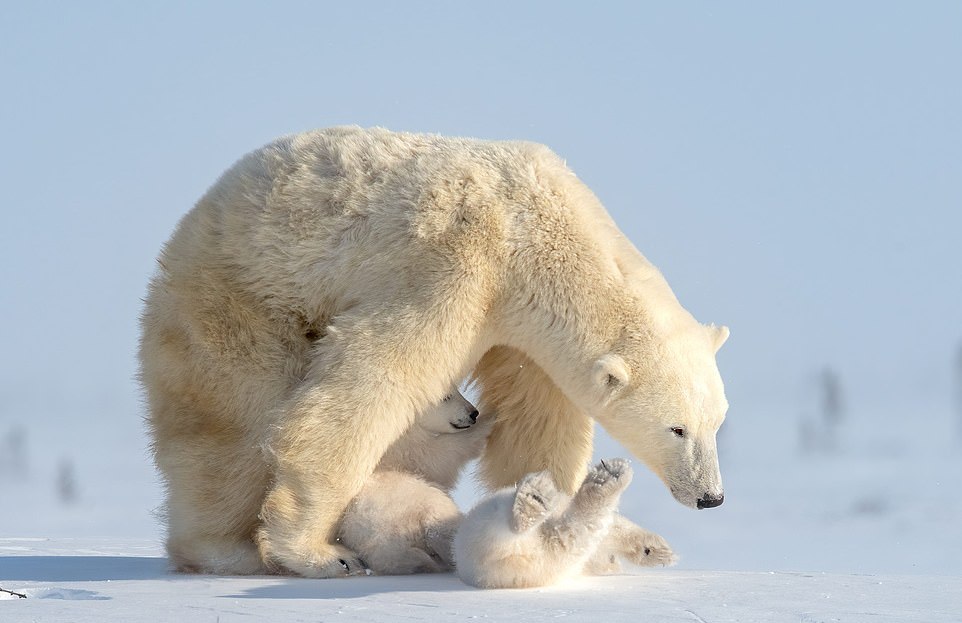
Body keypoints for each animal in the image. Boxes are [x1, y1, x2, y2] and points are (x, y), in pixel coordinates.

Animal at [141, 124, 728, 576]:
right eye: (677, 428)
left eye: (716, 423)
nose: (711, 497)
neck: (536, 228)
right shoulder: (456, 260)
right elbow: (374, 373)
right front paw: (317, 552)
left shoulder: (526, 330)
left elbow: (539, 422)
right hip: (244, 297)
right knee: (233, 428)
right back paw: (233, 552)